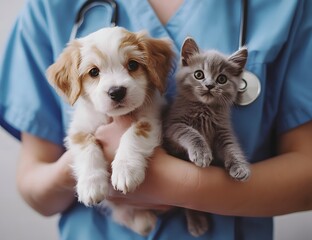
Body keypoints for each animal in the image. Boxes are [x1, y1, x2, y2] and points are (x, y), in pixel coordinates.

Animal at [46, 26, 174, 234]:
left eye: (132, 65)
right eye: (94, 72)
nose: (116, 91)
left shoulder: (152, 118)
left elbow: (134, 134)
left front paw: (125, 169)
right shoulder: (79, 130)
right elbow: (87, 149)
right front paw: (91, 184)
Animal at [163, 38, 251, 236]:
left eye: (222, 79)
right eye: (199, 74)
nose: (210, 85)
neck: (204, 109)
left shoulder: (224, 132)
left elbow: (232, 148)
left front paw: (240, 167)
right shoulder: (172, 128)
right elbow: (191, 132)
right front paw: (202, 154)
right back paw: (197, 223)